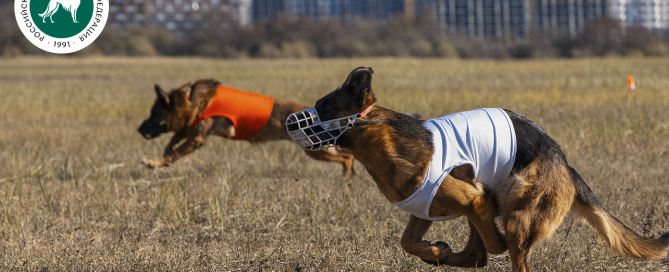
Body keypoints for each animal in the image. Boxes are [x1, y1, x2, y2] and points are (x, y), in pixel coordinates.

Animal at [136, 78, 354, 176]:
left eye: (154, 113)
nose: (139, 130)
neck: (191, 99)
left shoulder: (197, 137)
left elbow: (174, 153)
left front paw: (154, 162)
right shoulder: (191, 129)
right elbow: (173, 142)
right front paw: (163, 156)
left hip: (315, 150)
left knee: (347, 157)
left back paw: (346, 177)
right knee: (347, 156)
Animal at [290, 67, 668, 270]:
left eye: (326, 107)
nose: (289, 122)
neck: (387, 140)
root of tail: (565, 164)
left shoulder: (472, 198)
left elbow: (493, 244)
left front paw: (444, 250)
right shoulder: (425, 208)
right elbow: (407, 241)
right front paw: (435, 251)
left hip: (517, 212)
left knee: (507, 252)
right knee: (476, 255)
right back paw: (446, 257)